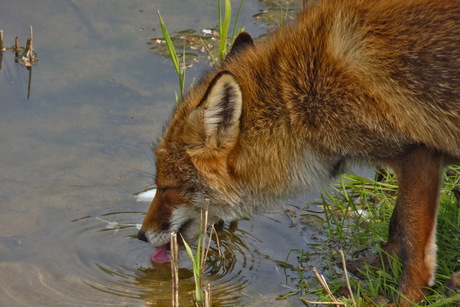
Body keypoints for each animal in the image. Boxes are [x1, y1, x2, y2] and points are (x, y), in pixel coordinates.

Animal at [137, 0, 460, 304]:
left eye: (165, 187)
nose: (140, 235)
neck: (308, 88)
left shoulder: (418, 153)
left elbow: (413, 245)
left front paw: (405, 298)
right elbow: (397, 227)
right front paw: (379, 268)